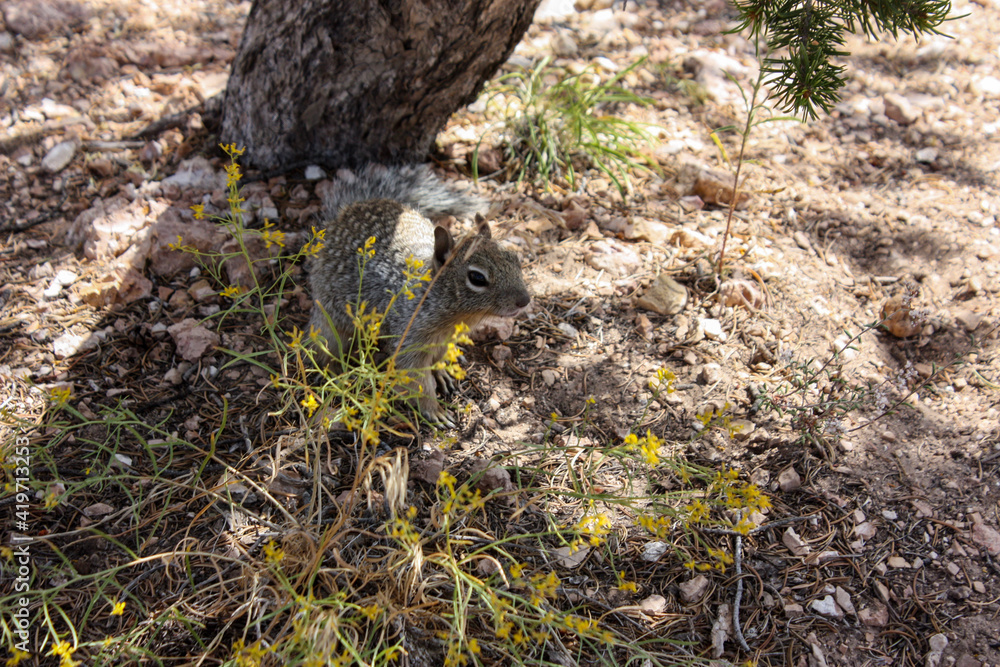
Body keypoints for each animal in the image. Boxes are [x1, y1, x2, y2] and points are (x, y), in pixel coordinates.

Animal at [309, 164, 531, 425]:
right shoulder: (409, 338)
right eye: (477, 278)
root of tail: (344, 213)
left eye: (514, 258)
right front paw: (434, 410)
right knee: (325, 348)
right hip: (329, 323)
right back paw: (334, 371)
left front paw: (441, 372)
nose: (524, 301)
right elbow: (416, 379)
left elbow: (437, 360)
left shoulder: (445, 338)